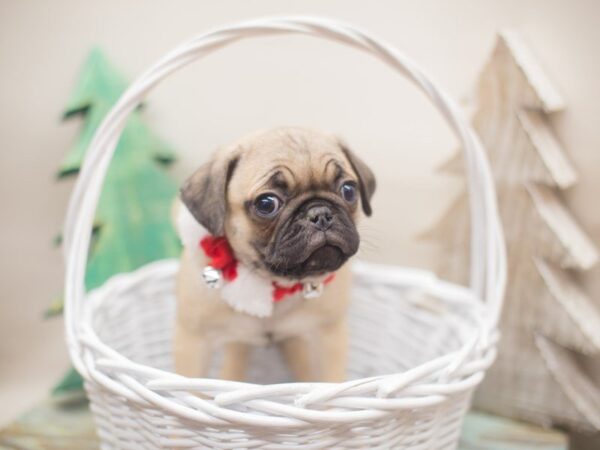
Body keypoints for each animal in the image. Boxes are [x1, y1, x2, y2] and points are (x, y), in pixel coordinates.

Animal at [171, 127, 376, 384]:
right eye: (266, 204)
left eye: (348, 190)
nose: (320, 214)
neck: (276, 285)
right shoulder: (194, 341)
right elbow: (190, 385)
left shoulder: (328, 336)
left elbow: (329, 380)